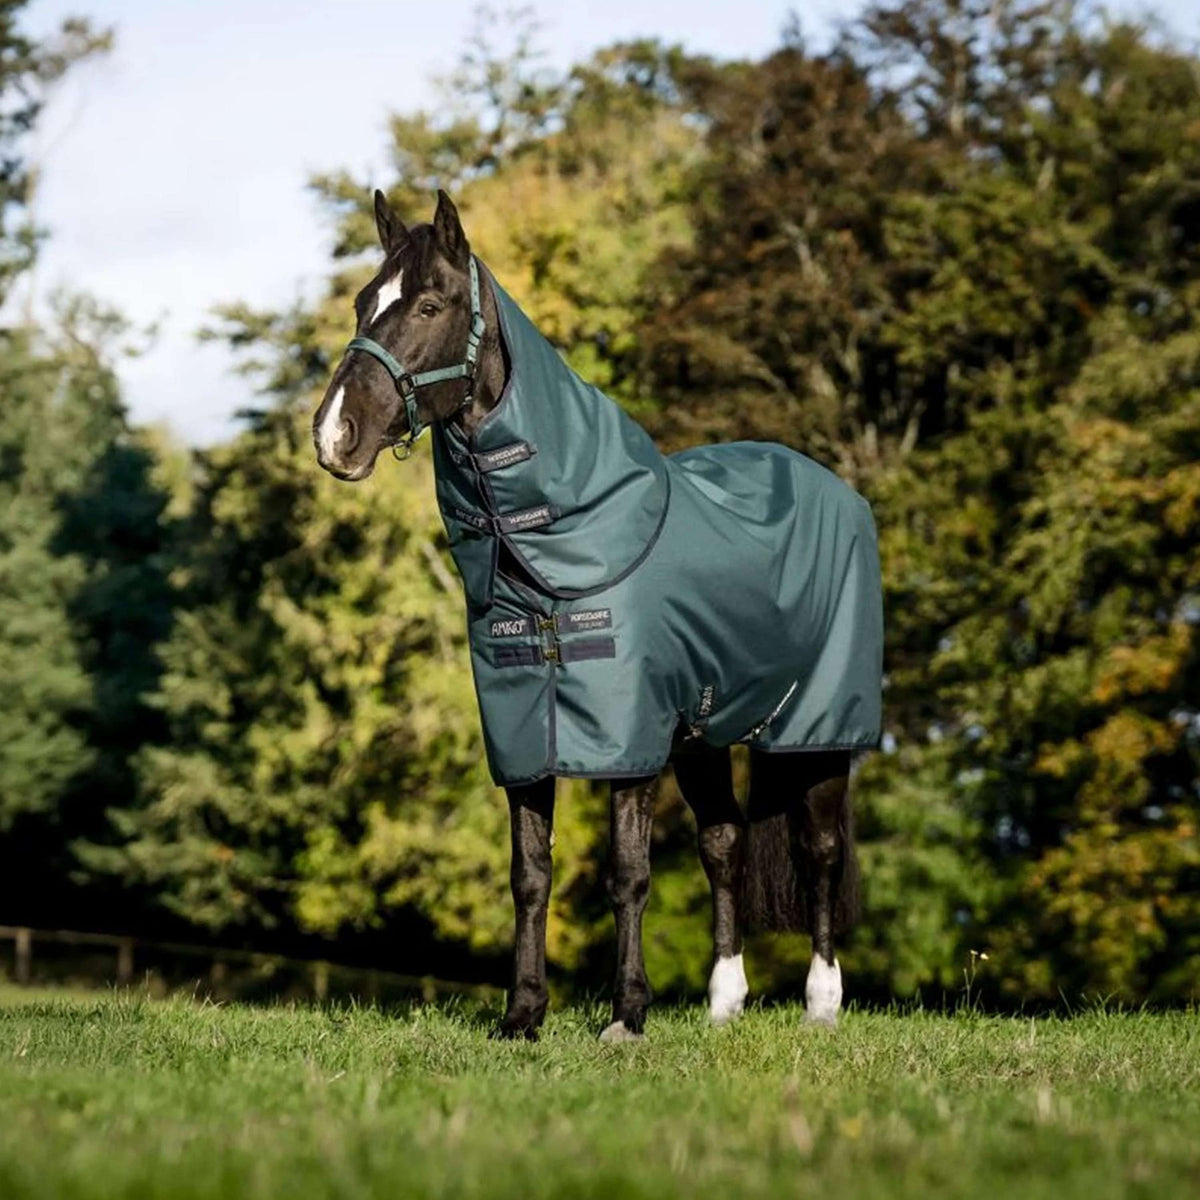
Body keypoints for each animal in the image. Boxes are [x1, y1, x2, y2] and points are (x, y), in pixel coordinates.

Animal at [313, 189, 882, 1040]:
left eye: (429, 305)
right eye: (360, 304)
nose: (333, 435)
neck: (564, 544)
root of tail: (835, 490)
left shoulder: (630, 743)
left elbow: (629, 874)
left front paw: (626, 1016)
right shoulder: (524, 737)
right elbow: (529, 875)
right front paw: (522, 1015)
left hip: (817, 731)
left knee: (817, 849)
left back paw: (821, 1004)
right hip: (705, 735)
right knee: (724, 844)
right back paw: (724, 1004)